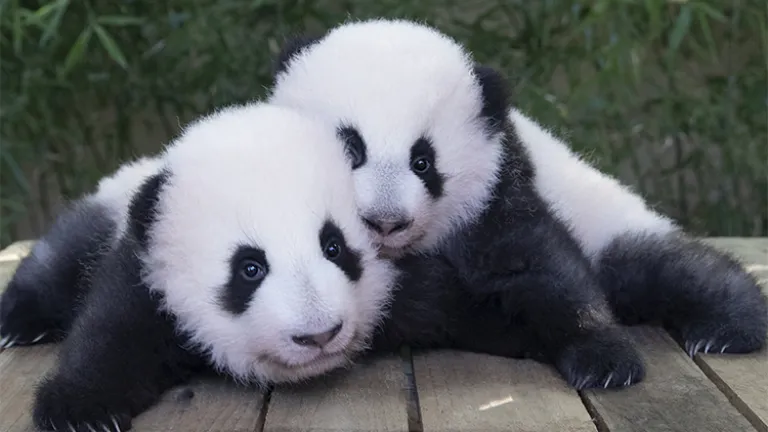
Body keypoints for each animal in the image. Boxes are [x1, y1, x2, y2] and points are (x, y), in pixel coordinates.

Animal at [28, 102, 398, 432]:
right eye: (249, 269)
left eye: (334, 247)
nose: (319, 335)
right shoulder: (148, 276)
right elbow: (111, 334)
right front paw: (79, 412)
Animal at [269, 18, 767, 379]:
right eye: (350, 147)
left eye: (423, 162)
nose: (385, 221)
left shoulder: (496, 189)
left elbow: (539, 264)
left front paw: (604, 359)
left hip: (608, 218)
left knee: (667, 267)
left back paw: (730, 326)